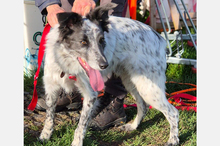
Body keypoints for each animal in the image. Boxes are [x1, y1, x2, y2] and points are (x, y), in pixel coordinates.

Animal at [39, 2, 180, 146]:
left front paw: (76, 143)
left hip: (148, 88)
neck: (67, 62)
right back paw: (133, 126)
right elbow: (50, 115)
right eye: (83, 42)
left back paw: (173, 140)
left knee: (173, 112)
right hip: (132, 82)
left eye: (102, 40)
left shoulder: (91, 94)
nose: (104, 65)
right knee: (143, 106)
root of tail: (159, 38)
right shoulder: (51, 87)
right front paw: (45, 135)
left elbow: (81, 125)